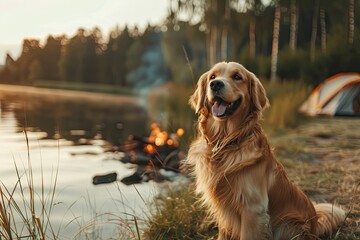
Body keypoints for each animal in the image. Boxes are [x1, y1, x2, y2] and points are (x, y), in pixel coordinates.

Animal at [187, 62, 344, 240]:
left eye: (237, 77)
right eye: (212, 76)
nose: (215, 84)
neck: (225, 141)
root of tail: (315, 223)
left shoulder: (252, 210)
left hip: (287, 225)